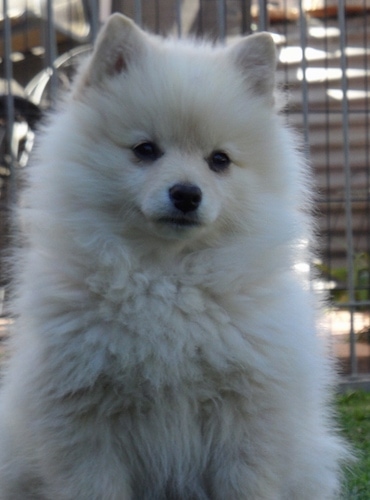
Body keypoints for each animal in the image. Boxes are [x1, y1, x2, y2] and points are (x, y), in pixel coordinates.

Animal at [0, 11, 348, 500]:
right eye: (145, 150)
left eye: (219, 160)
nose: (186, 194)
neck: (167, 277)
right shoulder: (83, 420)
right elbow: (95, 485)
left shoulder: (249, 418)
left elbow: (247, 483)